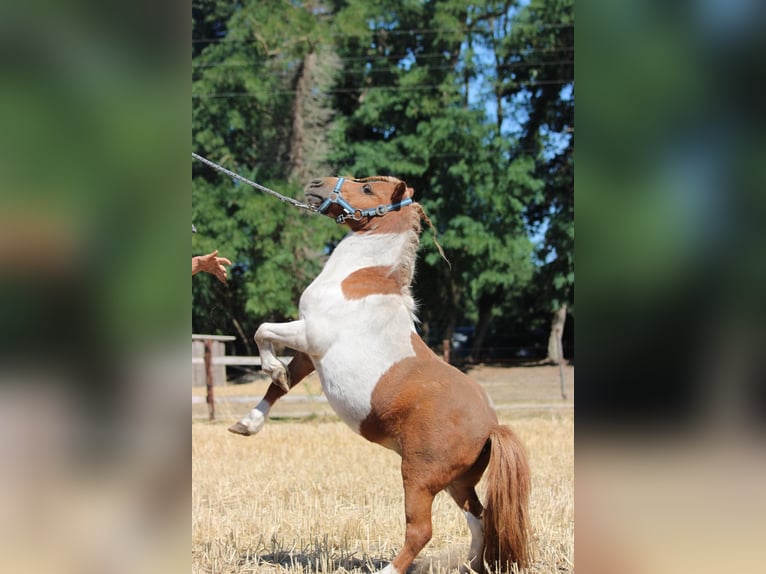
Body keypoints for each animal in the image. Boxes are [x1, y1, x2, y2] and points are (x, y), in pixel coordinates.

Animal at [228, 175, 531, 573]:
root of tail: (492, 428)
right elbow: (280, 388)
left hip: (418, 479)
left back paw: (390, 568)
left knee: (421, 530)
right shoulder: (310, 354)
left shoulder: (310, 335)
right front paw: (248, 423)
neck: (358, 281)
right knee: (479, 518)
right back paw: (470, 565)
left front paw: (271, 369)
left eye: (368, 189)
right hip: (458, 483)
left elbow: (262, 331)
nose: (316, 184)